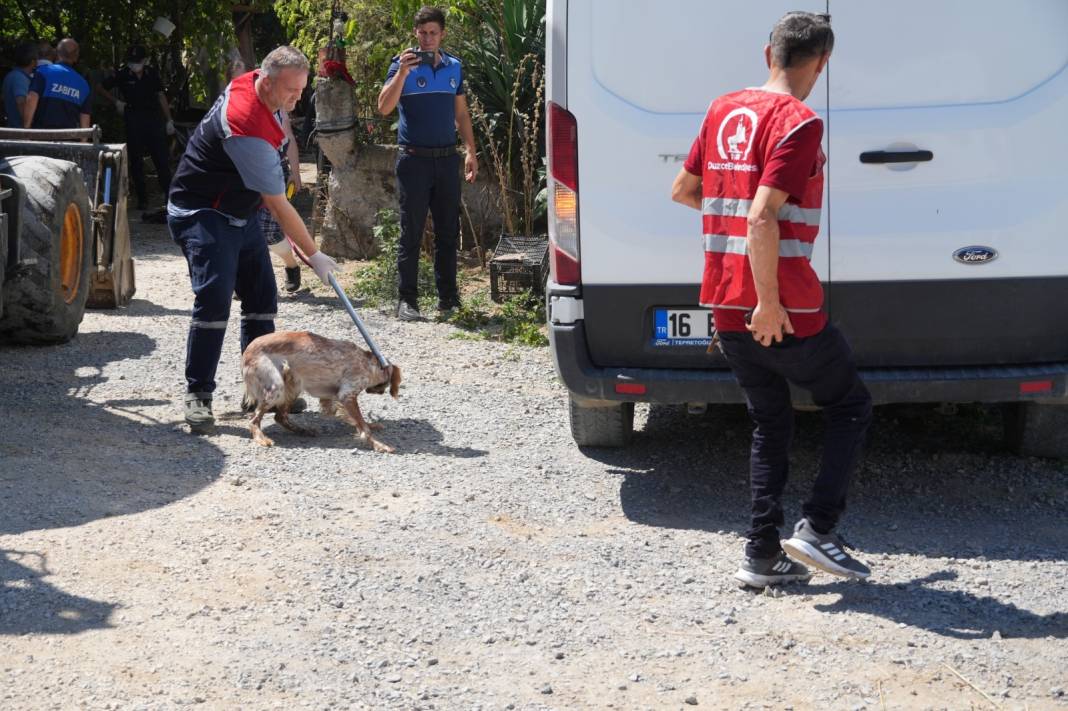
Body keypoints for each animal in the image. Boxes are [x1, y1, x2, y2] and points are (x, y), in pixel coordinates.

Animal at [241, 328, 401, 450]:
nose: (381, 392)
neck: (368, 364)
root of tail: (247, 352)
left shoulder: (329, 398)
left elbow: (355, 419)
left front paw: (371, 425)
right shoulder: (347, 396)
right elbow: (362, 427)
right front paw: (379, 445)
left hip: (293, 385)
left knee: (280, 416)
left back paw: (304, 430)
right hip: (276, 387)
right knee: (254, 420)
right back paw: (262, 438)